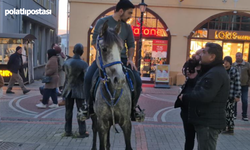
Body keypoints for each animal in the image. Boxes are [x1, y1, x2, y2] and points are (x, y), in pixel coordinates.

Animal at [90, 20, 133, 150]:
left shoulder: (126, 123)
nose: (120, 79)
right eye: (104, 49)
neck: (113, 94)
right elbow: (102, 145)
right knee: (94, 129)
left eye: (121, 49)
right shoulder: (102, 124)